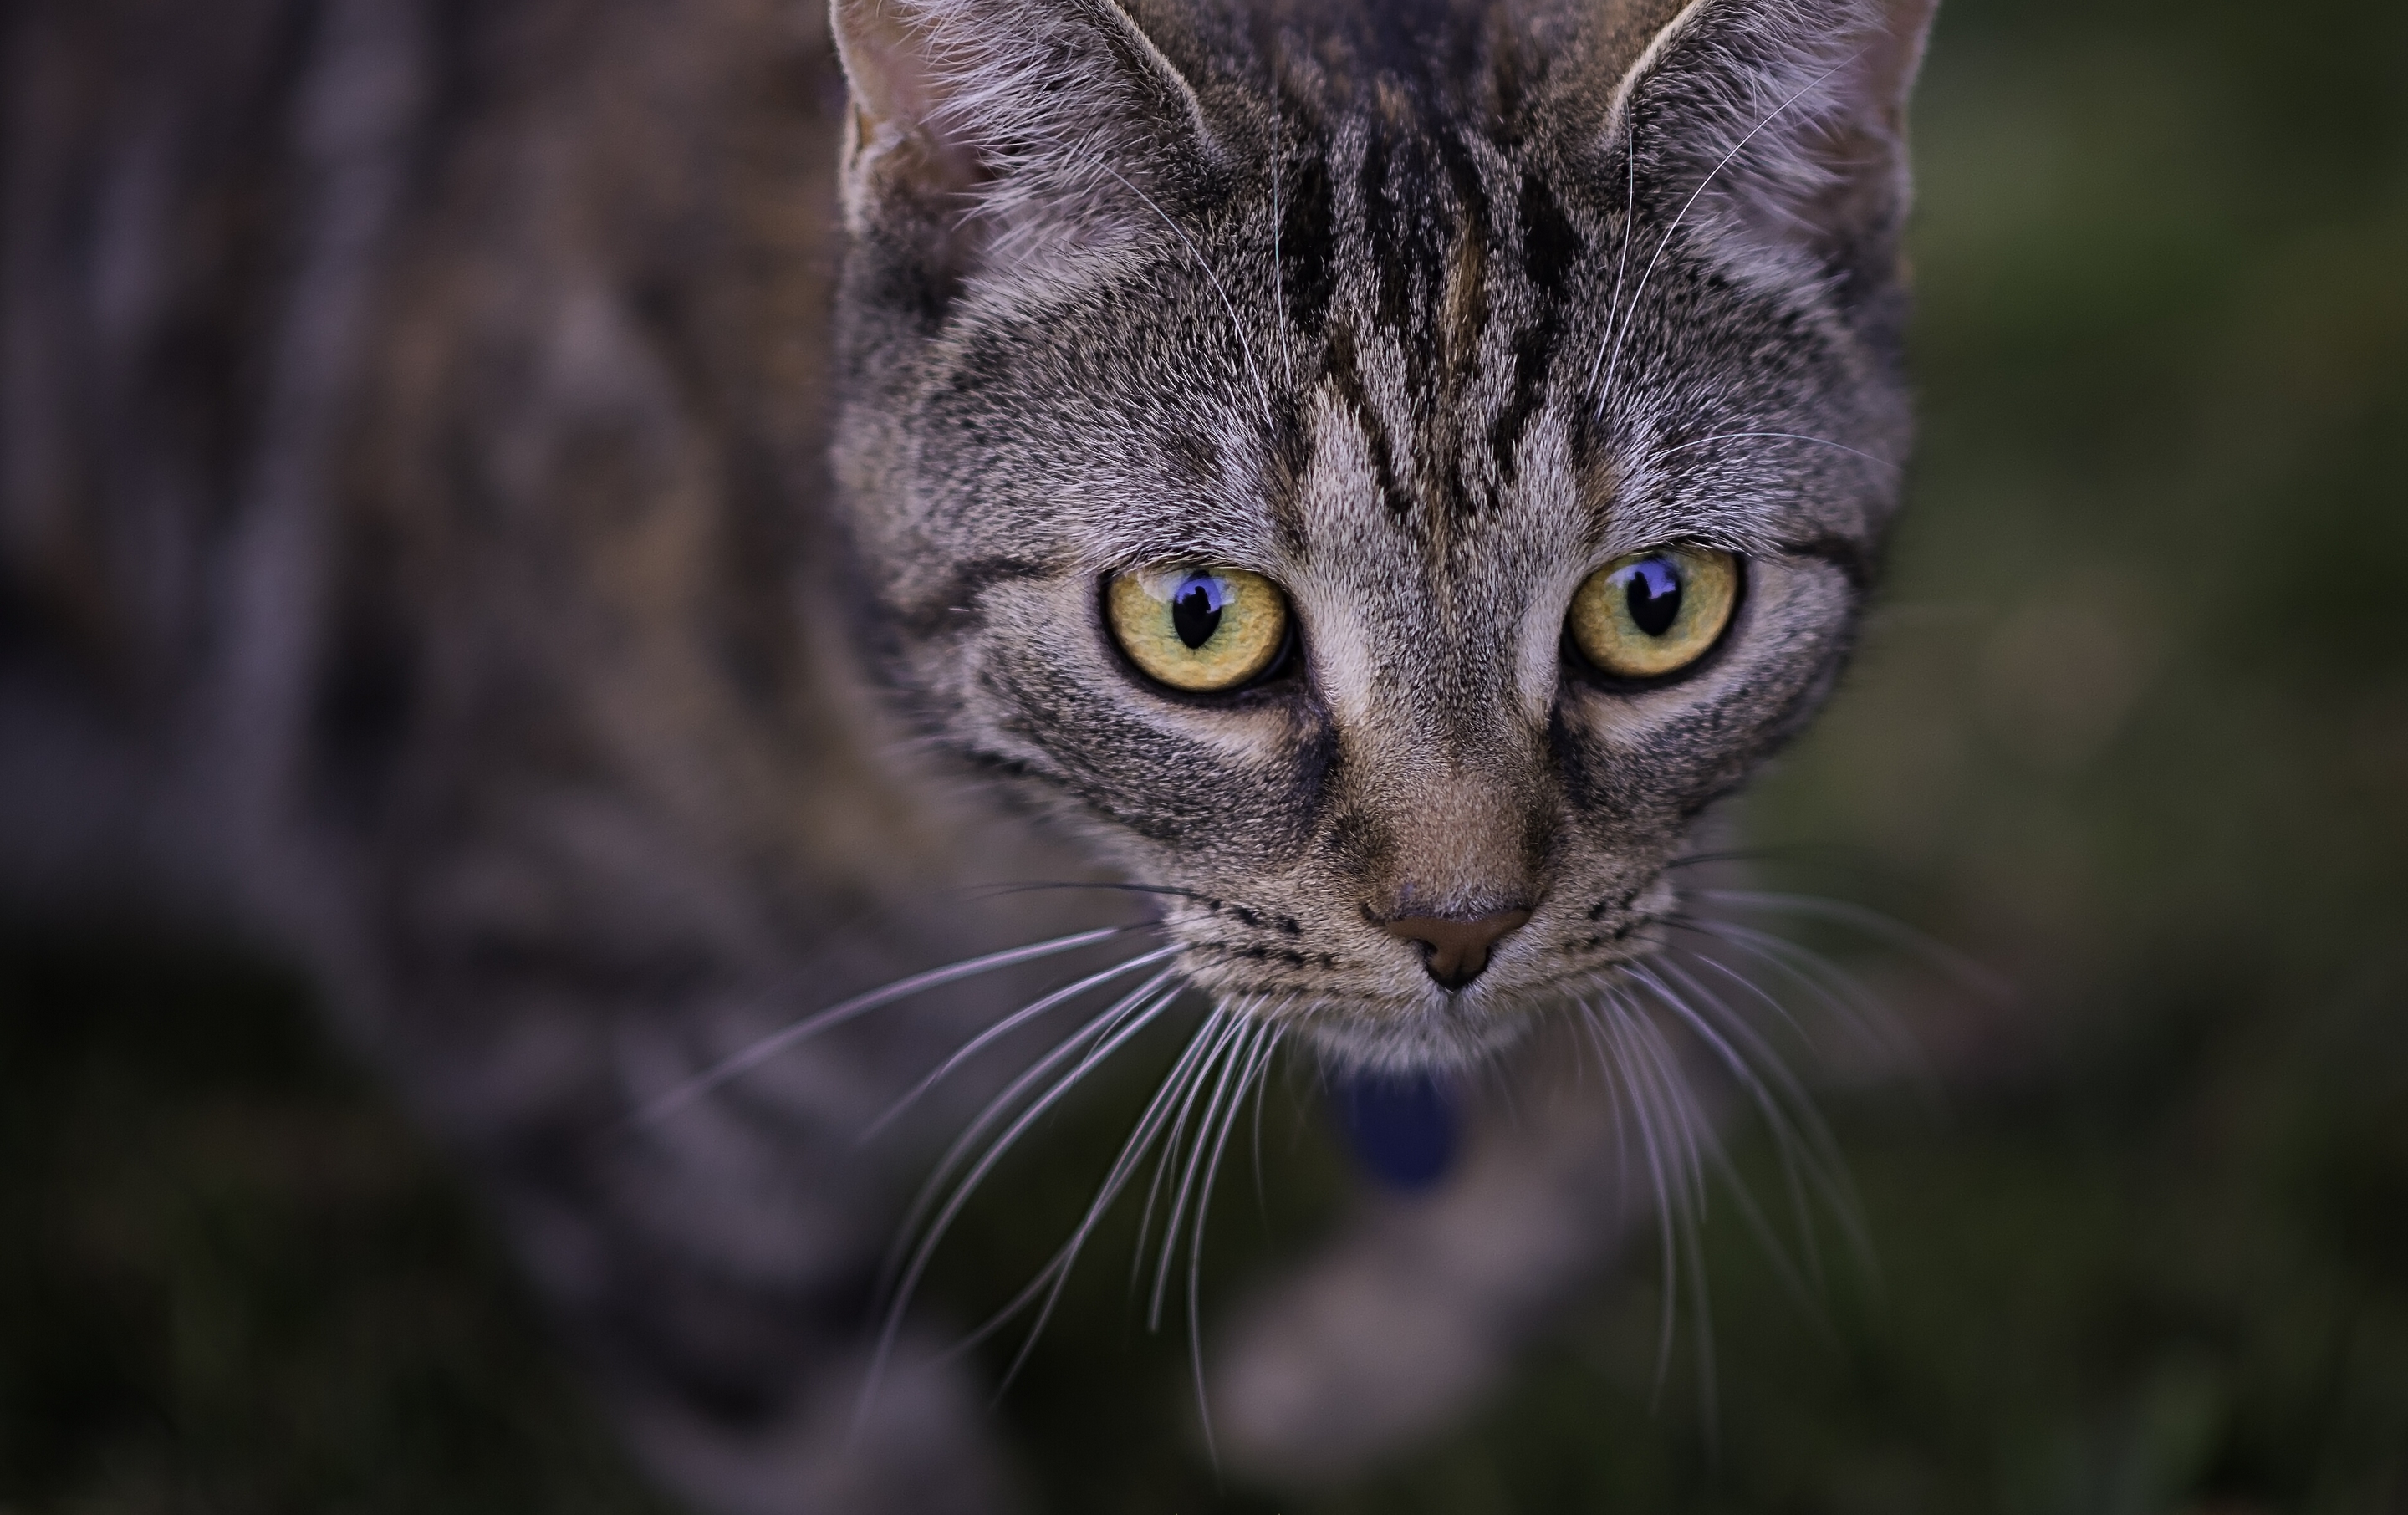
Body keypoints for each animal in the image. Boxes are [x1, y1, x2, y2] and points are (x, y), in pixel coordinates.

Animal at [0, 0, 1926, 1502]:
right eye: (1199, 619)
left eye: (1657, 604)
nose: (1462, 926)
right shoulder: (557, 1028)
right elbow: (836, 1441)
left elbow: (1690, 1043)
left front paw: (1340, 1366)